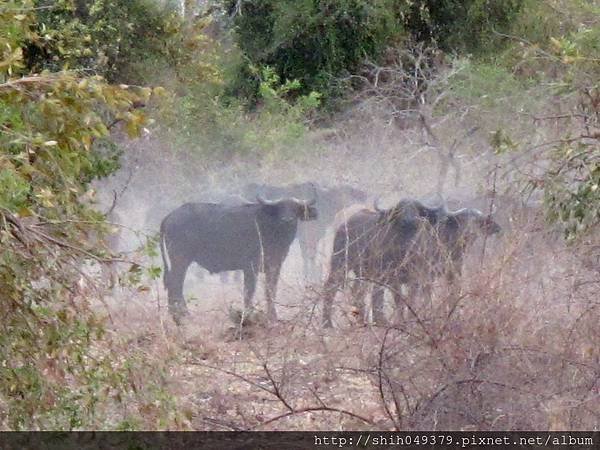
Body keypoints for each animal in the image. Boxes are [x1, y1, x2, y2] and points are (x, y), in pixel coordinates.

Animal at [159, 195, 318, 322]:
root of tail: (170, 216)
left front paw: (273, 316)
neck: (272, 231)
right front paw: (248, 315)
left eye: (295, 208)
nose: (287, 220)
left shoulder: (275, 266)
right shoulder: (250, 268)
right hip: (180, 260)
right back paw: (180, 314)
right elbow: (249, 291)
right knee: (175, 284)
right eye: (280, 208)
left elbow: (271, 291)